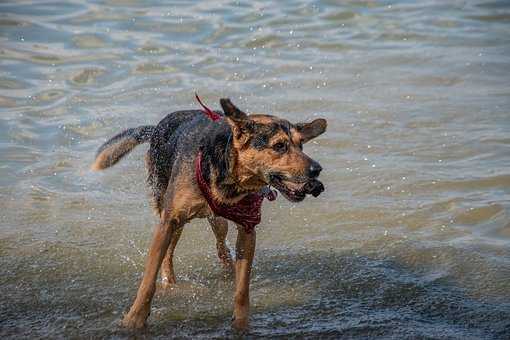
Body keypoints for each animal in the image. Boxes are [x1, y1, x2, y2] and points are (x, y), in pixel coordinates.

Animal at [91, 97, 326, 330]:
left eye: (301, 145)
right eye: (279, 146)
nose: (317, 170)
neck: (231, 179)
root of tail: (156, 128)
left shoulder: (248, 228)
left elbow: (242, 289)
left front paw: (241, 323)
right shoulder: (169, 221)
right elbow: (148, 280)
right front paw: (135, 318)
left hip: (218, 221)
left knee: (221, 248)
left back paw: (228, 270)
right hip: (170, 216)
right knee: (168, 254)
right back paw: (170, 284)